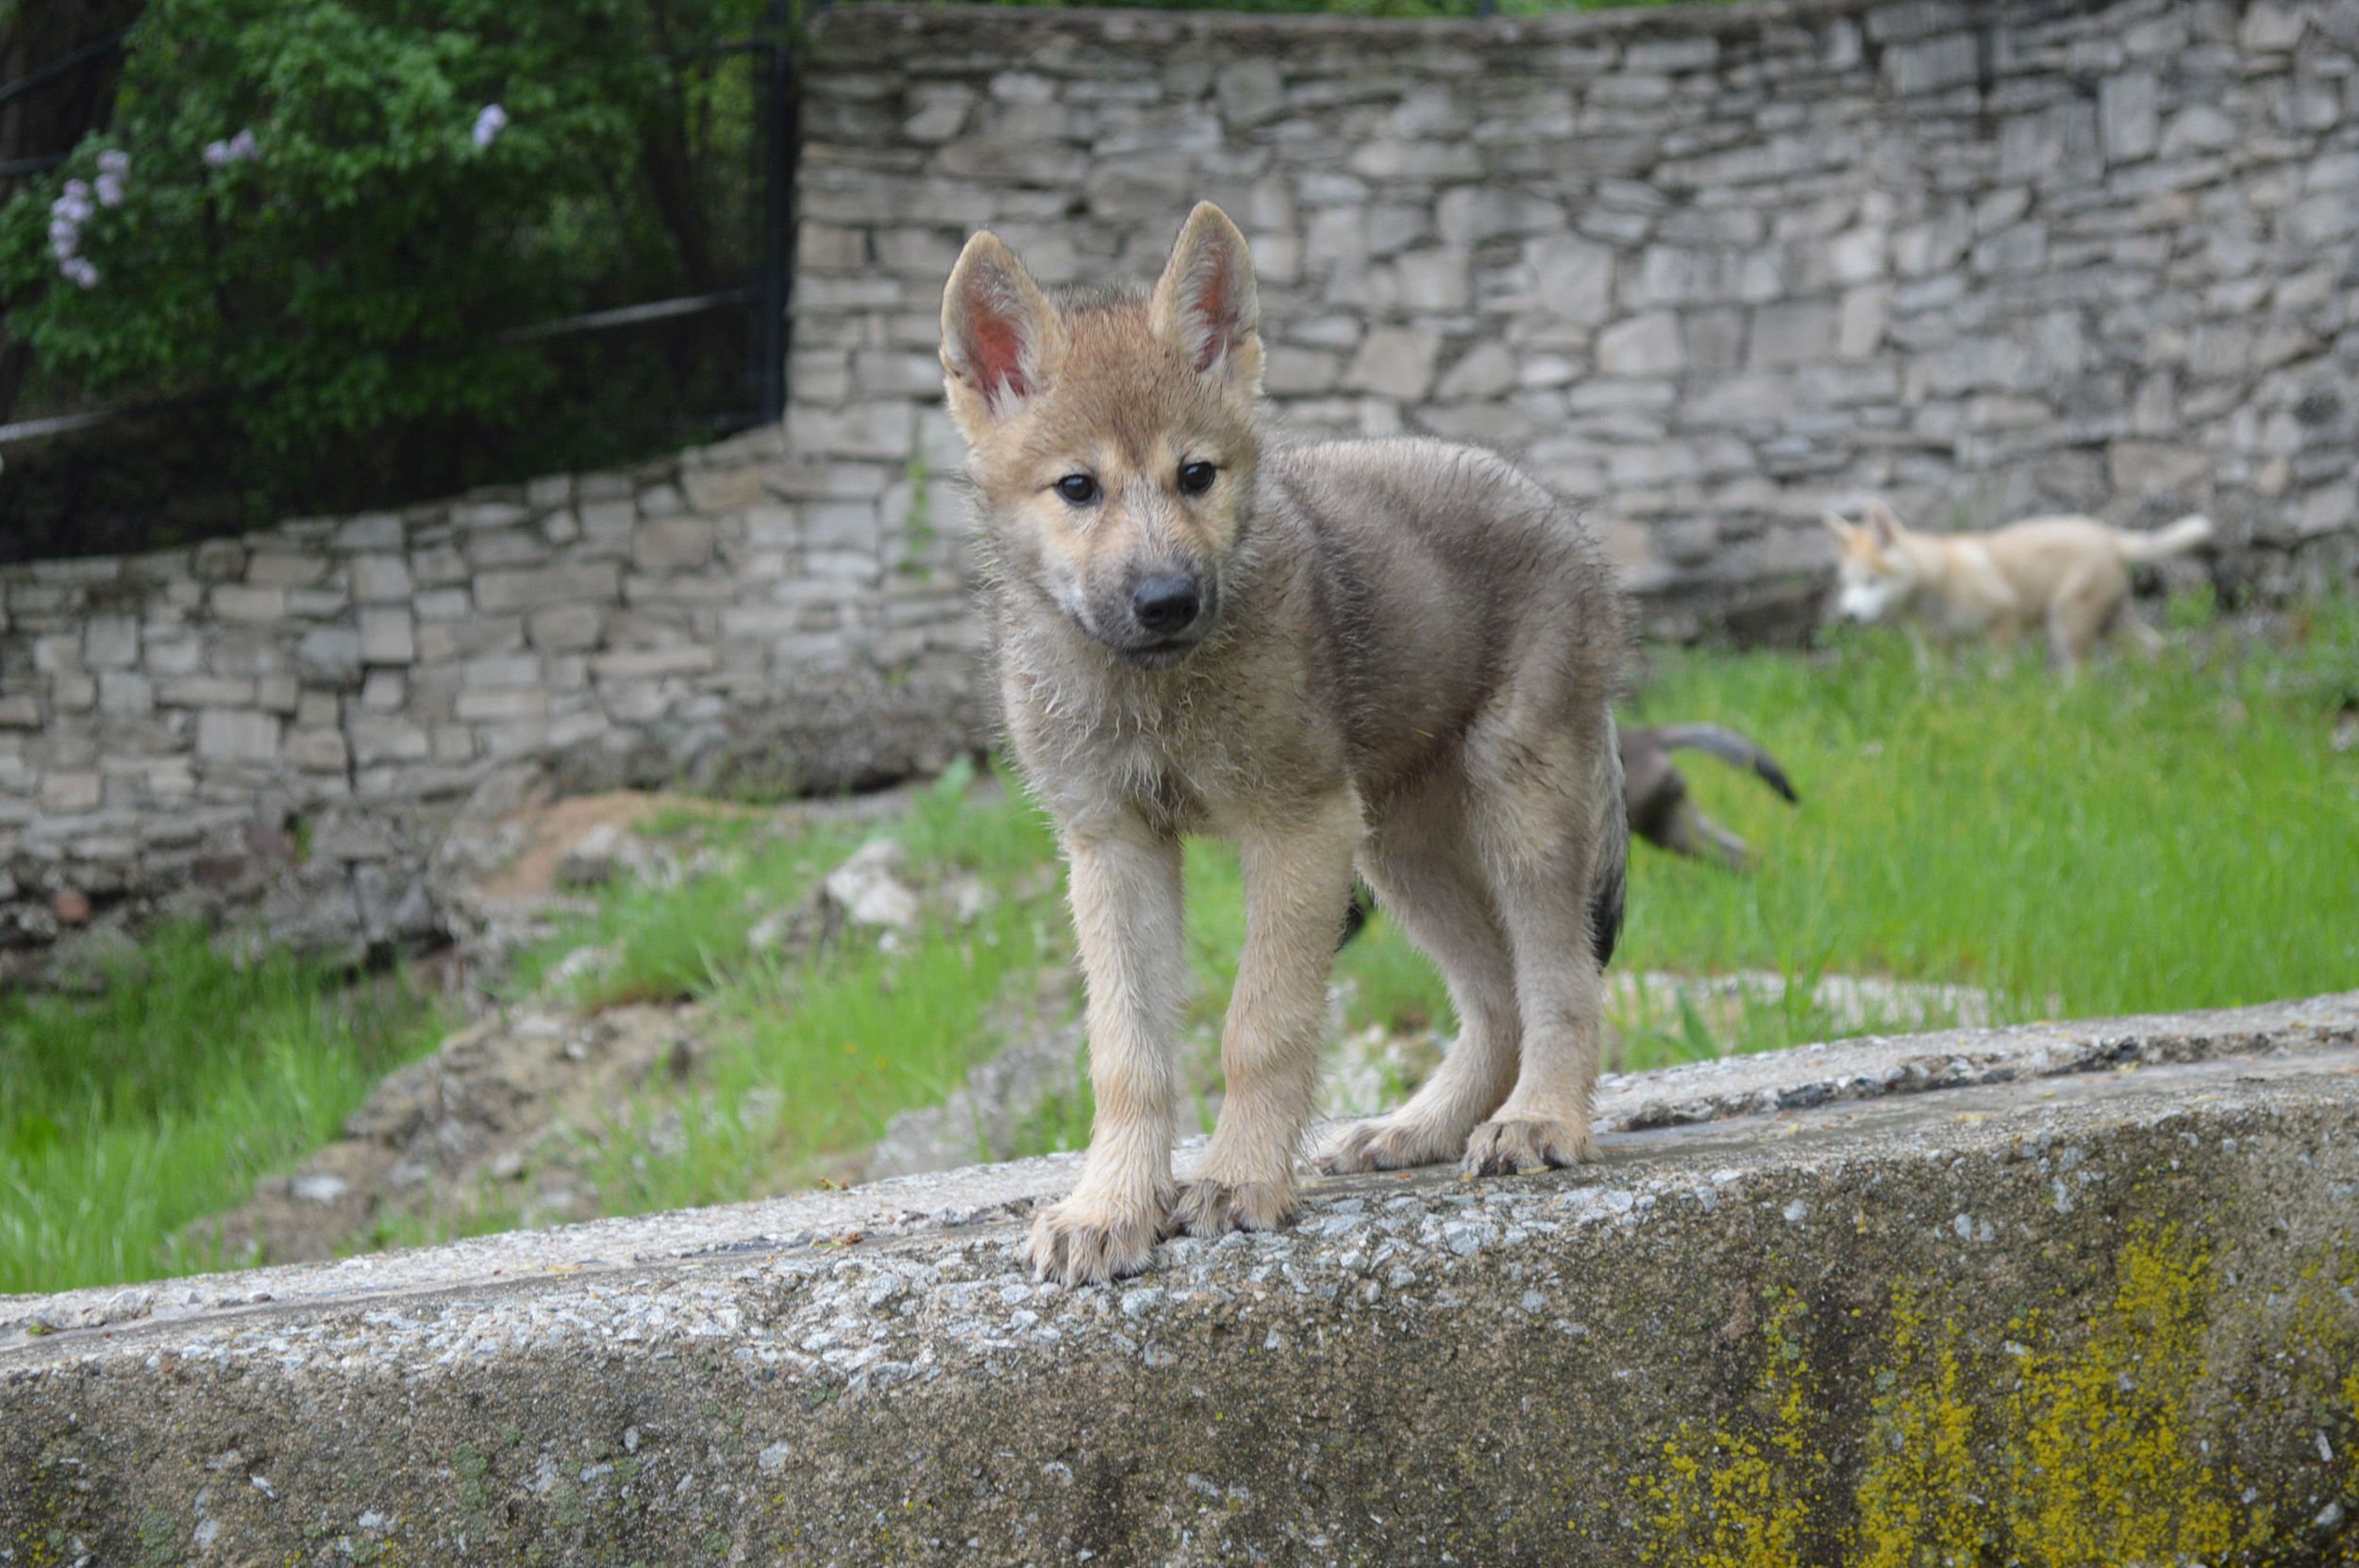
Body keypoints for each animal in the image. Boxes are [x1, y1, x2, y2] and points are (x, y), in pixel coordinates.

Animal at [934, 201, 1623, 1282]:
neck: (1156, 694)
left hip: (1516, 810)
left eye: (1196, 476)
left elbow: (1259, 1027)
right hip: (1399, 849)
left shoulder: (1295, 829)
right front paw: (1109, 1207)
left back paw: (1540, 1121)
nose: (1165, 601)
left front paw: (1239, 1178)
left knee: (1562, 981)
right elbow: (1126, 1055)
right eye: (1077, 488)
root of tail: (1555, 507)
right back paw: (1418, 1128)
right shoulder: (1112, 847)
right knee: (1496, 998)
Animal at [1821, 497, 2208, 669]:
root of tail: (2107, 536)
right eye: (1847, 584)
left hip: (2069, 623)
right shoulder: (1938, 646)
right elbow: (1934, 683)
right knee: (2155, 647)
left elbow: (2000, 673)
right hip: (2111, 620)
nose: (1848, 615)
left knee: (2081, 674)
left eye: (1871, 581)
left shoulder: (2003, 620)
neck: (1936, 581)